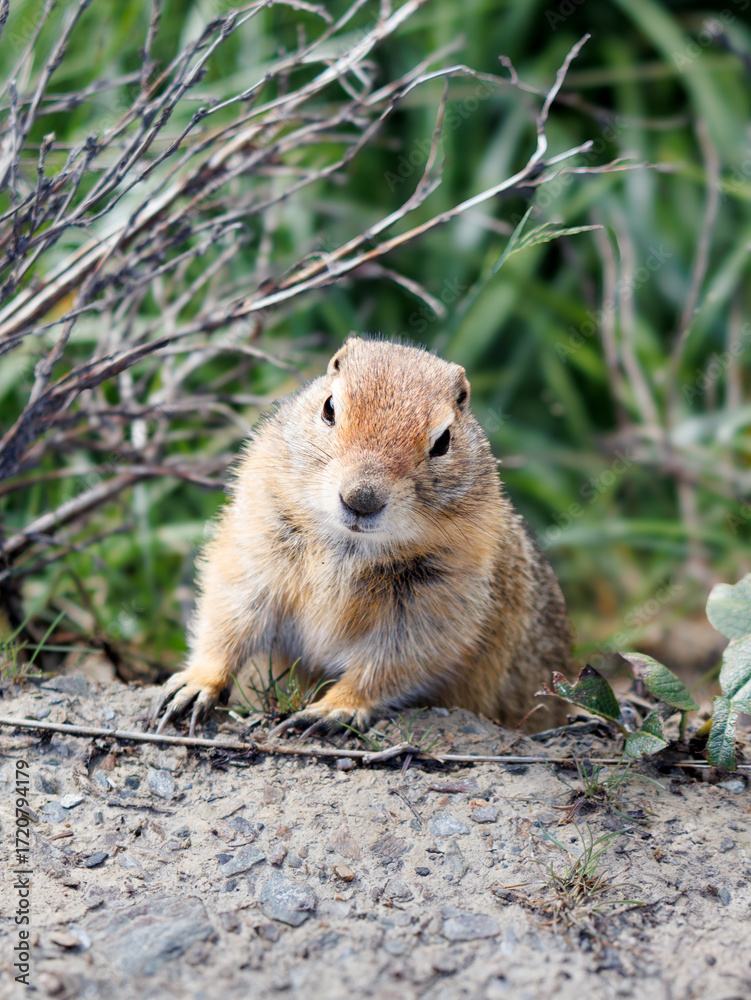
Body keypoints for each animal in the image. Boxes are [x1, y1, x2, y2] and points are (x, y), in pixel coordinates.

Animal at [150, 337, 573, 737]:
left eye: (443, 441)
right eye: (329, 408)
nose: (361, 499)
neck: (349, 547)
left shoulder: (437, 599)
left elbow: (392, 662)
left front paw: (332, 710)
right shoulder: (256, 542)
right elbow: (228, 617)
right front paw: (193, 686)